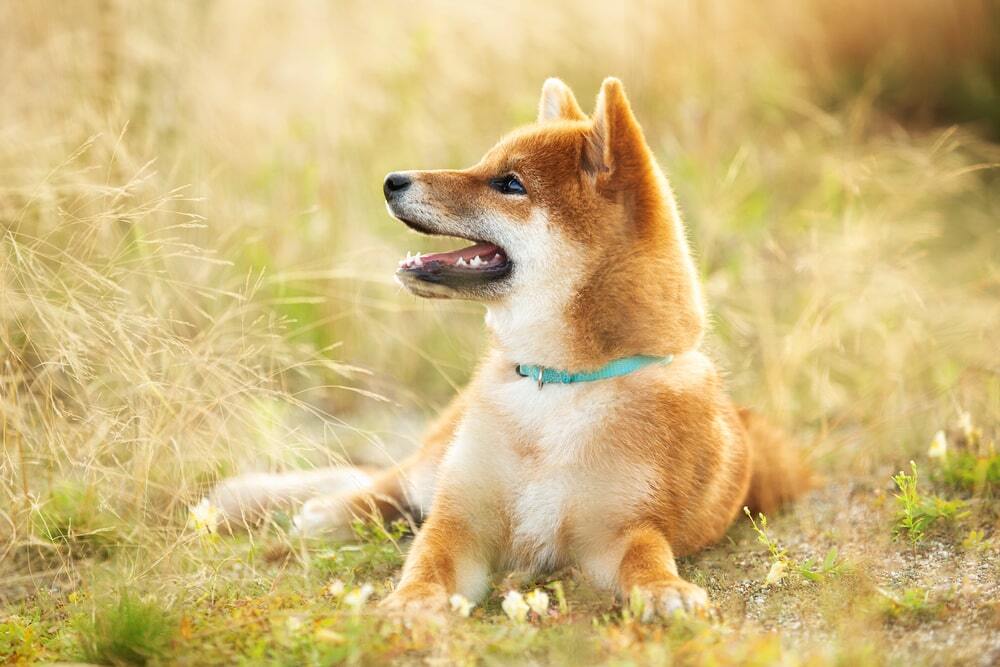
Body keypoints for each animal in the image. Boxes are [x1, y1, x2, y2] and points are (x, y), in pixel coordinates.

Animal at [213, 77, 812, 620]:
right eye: (486, 164)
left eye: (509, 183)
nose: (391, 180)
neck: (557, 384)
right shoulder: (461, 521)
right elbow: (426, 561)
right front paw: (410, 601)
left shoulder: (619, 532)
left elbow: (647, 561)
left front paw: (667, 591)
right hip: (437, 457)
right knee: (386, 483)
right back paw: (331, 512)